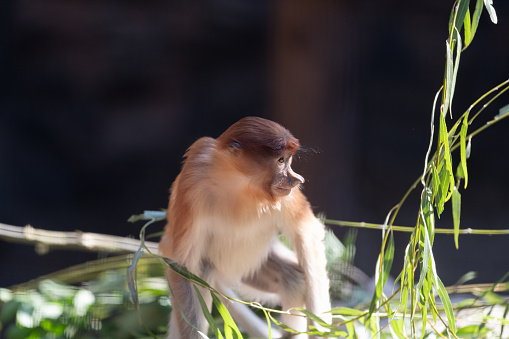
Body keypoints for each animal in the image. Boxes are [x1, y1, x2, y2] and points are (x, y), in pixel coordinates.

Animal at [161, 116, 332, 338]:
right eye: (280, 160)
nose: (297, 179)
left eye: (289, 159)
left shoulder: (283, 192)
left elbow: (306, 231)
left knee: (294, 279)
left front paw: (319, 327)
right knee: (201, 273)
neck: (240, 181)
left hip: (252, 265)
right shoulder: (193, 179)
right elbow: (181, 266)